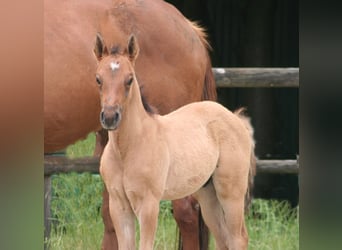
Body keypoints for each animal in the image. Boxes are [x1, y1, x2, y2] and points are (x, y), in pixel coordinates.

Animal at [97, 33, 255, 250]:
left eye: (129, 79)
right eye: (98, 79)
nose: (110, 117)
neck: (129, 148)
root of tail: (235, 118)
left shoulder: (149, 204)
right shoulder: (119, 205)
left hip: (231, 193)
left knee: (238, 238)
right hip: (208, 196)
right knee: (223, 239)